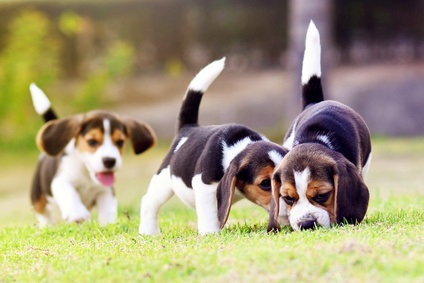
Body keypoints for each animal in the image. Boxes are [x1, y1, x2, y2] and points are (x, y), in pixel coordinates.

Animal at [29, 84, 157, 226]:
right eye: (92, 142)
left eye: (120, 142)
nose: (109, 160)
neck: (87, 174)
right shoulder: (60, 180)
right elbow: (70, 193)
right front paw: (77, 213)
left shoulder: (107, 191)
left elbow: (107, 209)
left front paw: (107, 224)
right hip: (38, 198)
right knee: (44, 214)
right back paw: (46, 225)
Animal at [139, 57, 288, 235]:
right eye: (265, 183)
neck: (237, 147)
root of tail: (188, 127)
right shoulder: (205, 185)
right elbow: (209, 213)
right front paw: (210, 233)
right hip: (163, 180)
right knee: (149, 202)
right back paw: (148, 231)